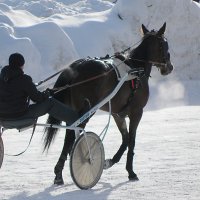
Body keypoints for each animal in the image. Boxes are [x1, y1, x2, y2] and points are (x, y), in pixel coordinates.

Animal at [42, 23, 173, 184]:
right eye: (164, 45)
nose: (169, 67)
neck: (135, 69)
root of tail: (76, 67)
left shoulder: (118, 114)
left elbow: (125, 138)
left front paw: (110, 161)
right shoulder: (137, 112)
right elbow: (131, 140)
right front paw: (130, 171)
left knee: (69, 137)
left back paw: (59, 173)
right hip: (87, 110)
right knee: (73, 136)